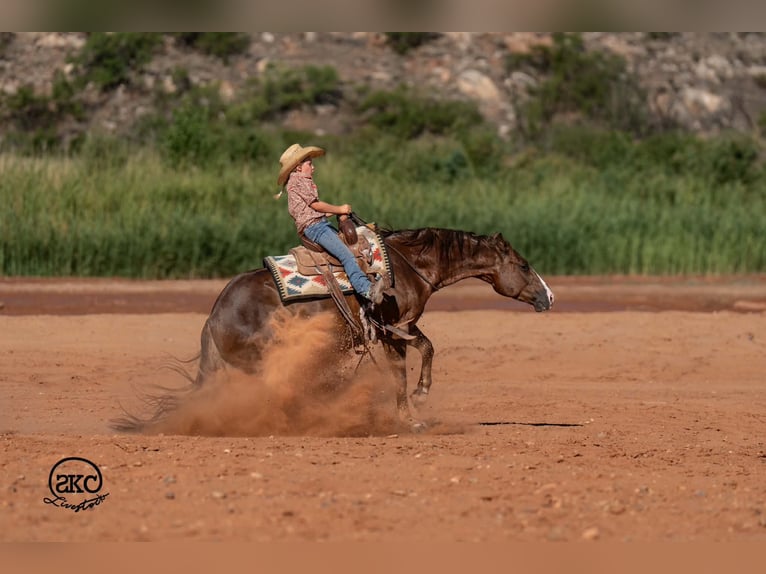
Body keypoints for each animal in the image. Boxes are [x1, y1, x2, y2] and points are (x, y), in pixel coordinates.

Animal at [188, 226, 554, 430]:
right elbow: (404, 371)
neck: (408, 265)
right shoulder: (392, 329)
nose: (549, 296)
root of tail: (215, 316)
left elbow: (424, 350)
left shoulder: (402, 325)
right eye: (524, 265)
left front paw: (414, 406)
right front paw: (414, 411)